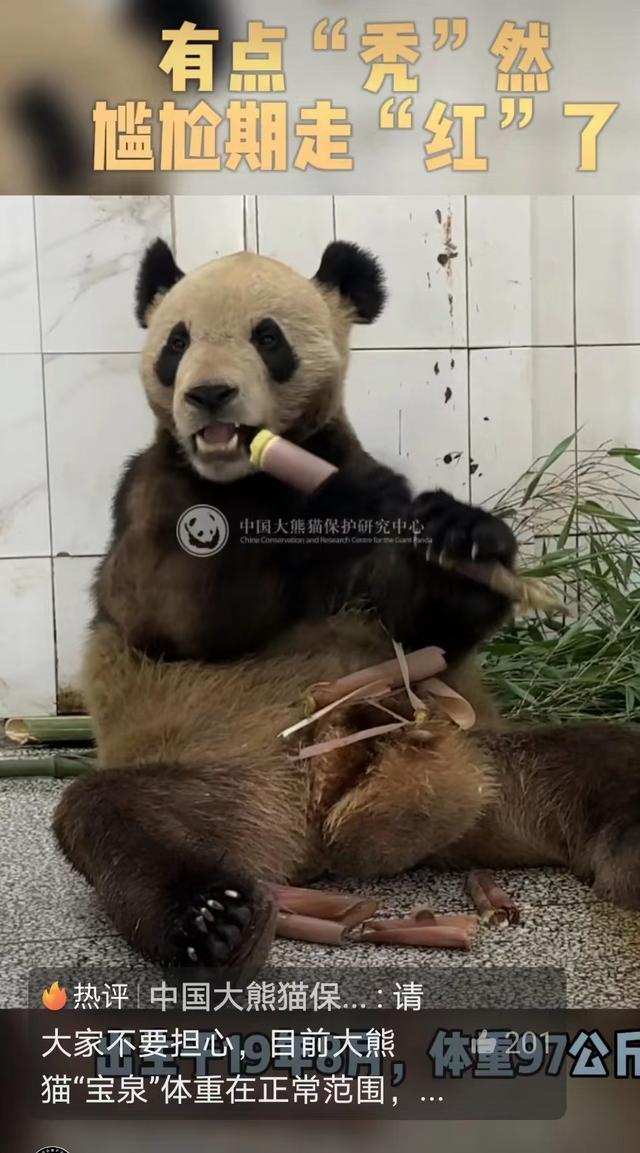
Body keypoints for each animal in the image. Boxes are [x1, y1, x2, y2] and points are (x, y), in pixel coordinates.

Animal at [52, 238, 640, 977]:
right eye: (176, 341)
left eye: (267, 337)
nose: (208, 395)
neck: (256, 475)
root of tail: (321, 831)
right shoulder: (151, 491)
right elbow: (174, 613)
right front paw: (340, 500)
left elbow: (422, 627)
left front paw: (463, 532)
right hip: (212, 780)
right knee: (114, 818)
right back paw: (213, 920)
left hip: (502, 763)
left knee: (606, 757)